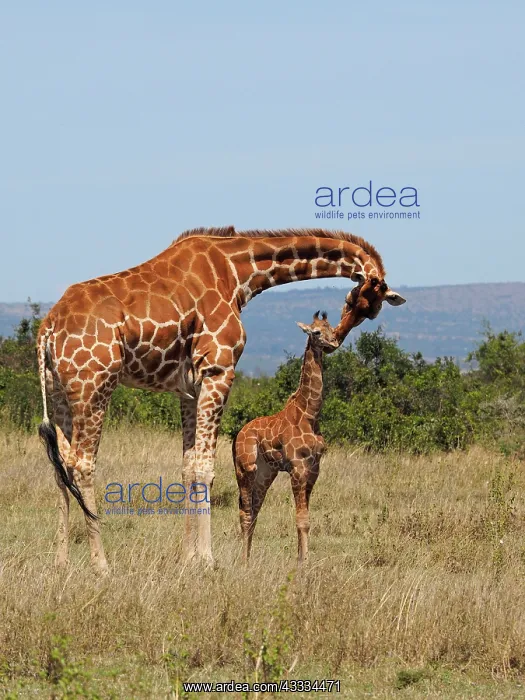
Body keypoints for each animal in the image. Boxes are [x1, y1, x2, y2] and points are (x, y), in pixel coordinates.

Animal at [233, 311, 340, 564]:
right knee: (245, 512)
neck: (309, 414)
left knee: (254, 511)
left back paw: (249, 558)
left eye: (331, 328)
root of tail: (238, 435)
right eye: (316, 332)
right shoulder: (298, 467)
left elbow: (305, 518)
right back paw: (243, 561)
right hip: (245, 469)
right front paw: (305, 563)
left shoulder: (314, 468)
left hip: (265, 473)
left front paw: (301, 559)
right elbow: (302, 520)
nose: (334, 343)